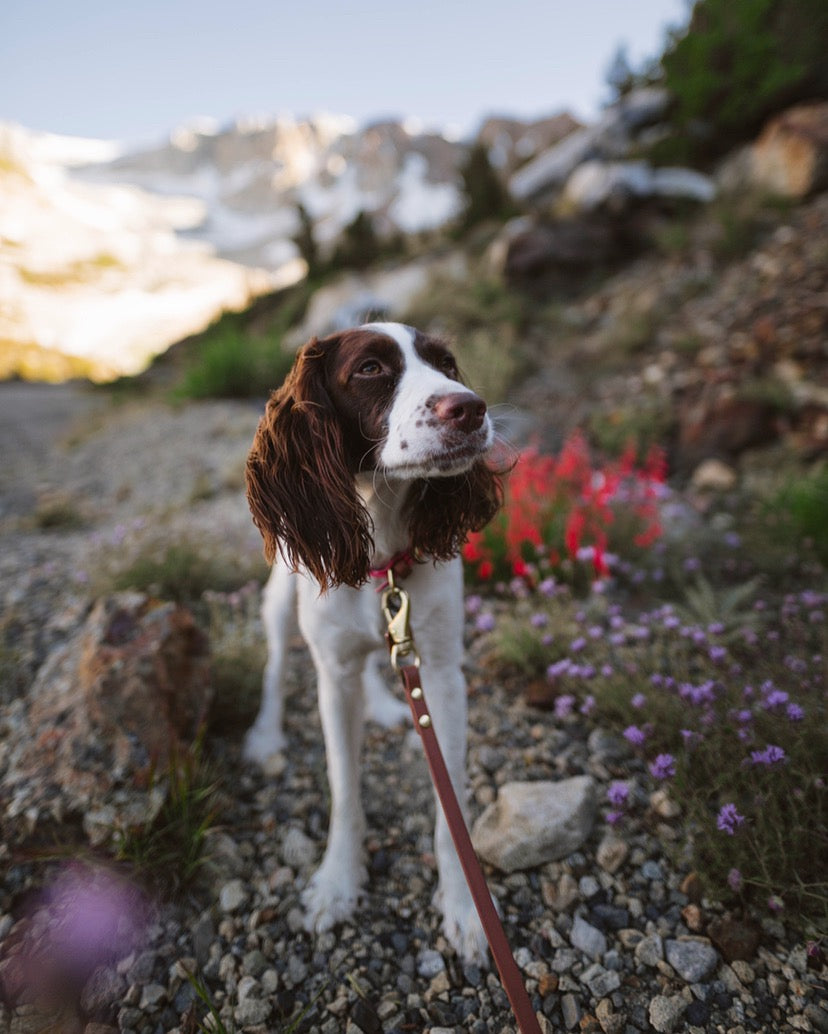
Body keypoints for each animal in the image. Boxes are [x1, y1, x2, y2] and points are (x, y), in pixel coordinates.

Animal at [241, 320, 500, 959]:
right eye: (370, 369)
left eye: (447, 364)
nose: (471, 408)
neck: (381, 557)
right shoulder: (332, 676)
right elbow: (345, 791)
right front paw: (337, 884)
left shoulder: (441, 672)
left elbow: (450, 807)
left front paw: (466, 908)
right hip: (278, 600)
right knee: (276, 666)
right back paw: (266, 736)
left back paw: (384, 707)